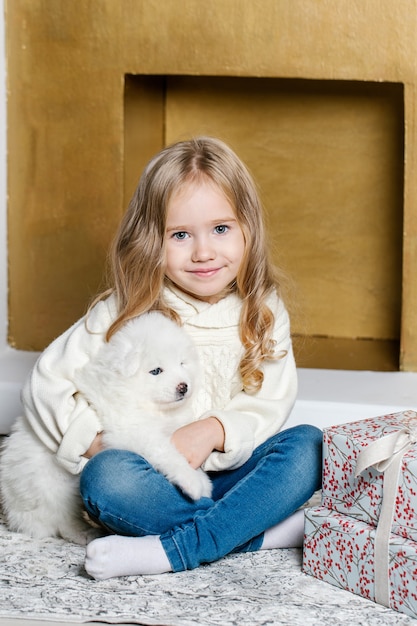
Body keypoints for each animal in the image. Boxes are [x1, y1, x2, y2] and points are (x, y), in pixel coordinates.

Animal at [0, 312, 211, 540]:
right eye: (156, 371)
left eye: (182, 363)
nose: (184, 387)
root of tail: (16, 513)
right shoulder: (133, 431)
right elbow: (168, 454)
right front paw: (194, 482)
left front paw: (200, 477)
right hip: (55, 488)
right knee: (63, 522)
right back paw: (86, 533)